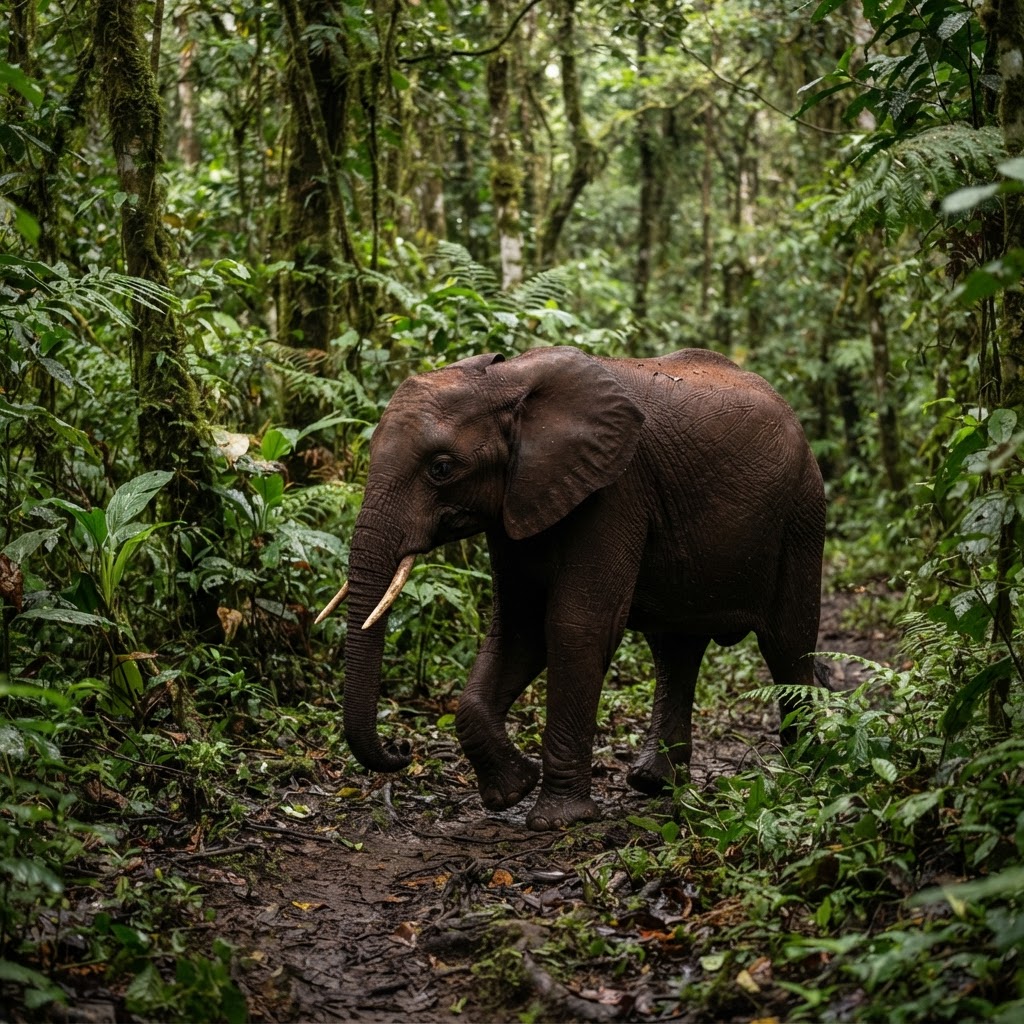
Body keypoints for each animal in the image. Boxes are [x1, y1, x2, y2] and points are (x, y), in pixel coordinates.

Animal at [319, 345, 826, 831]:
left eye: (441, 469)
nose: (402, 749)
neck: (506, 381)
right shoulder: (517, 502)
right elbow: (518, 629)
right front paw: (512, 791)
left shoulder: (615, 489)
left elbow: (576, 627)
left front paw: (558, 820)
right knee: (675, 649)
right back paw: (654, 784)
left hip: (802, 513)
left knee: (787, 647)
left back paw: (804, 773)